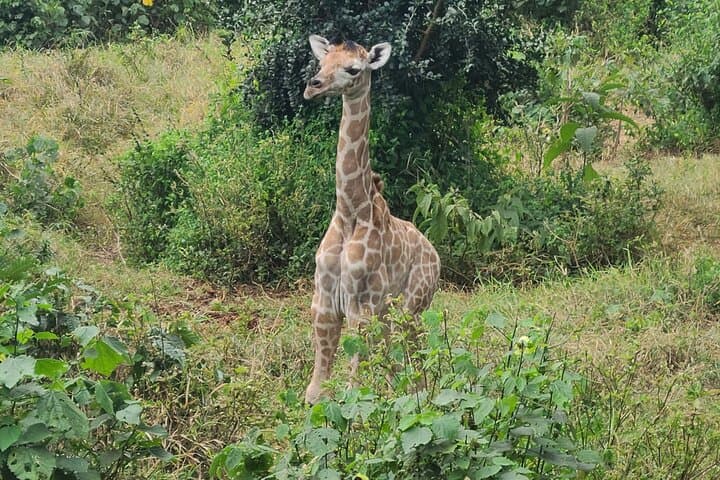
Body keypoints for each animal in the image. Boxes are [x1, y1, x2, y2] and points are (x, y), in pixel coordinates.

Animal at [303, 34, 440, 405]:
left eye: (353, 69)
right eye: (321, 62)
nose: (312, 86)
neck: (350, 211)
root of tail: (435, 253)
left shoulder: (360, 305)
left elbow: (354, 390)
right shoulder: (324, 302)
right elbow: (316, 391)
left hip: (412, 304)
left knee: (414, 357)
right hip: (389, 313)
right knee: (396, 360)